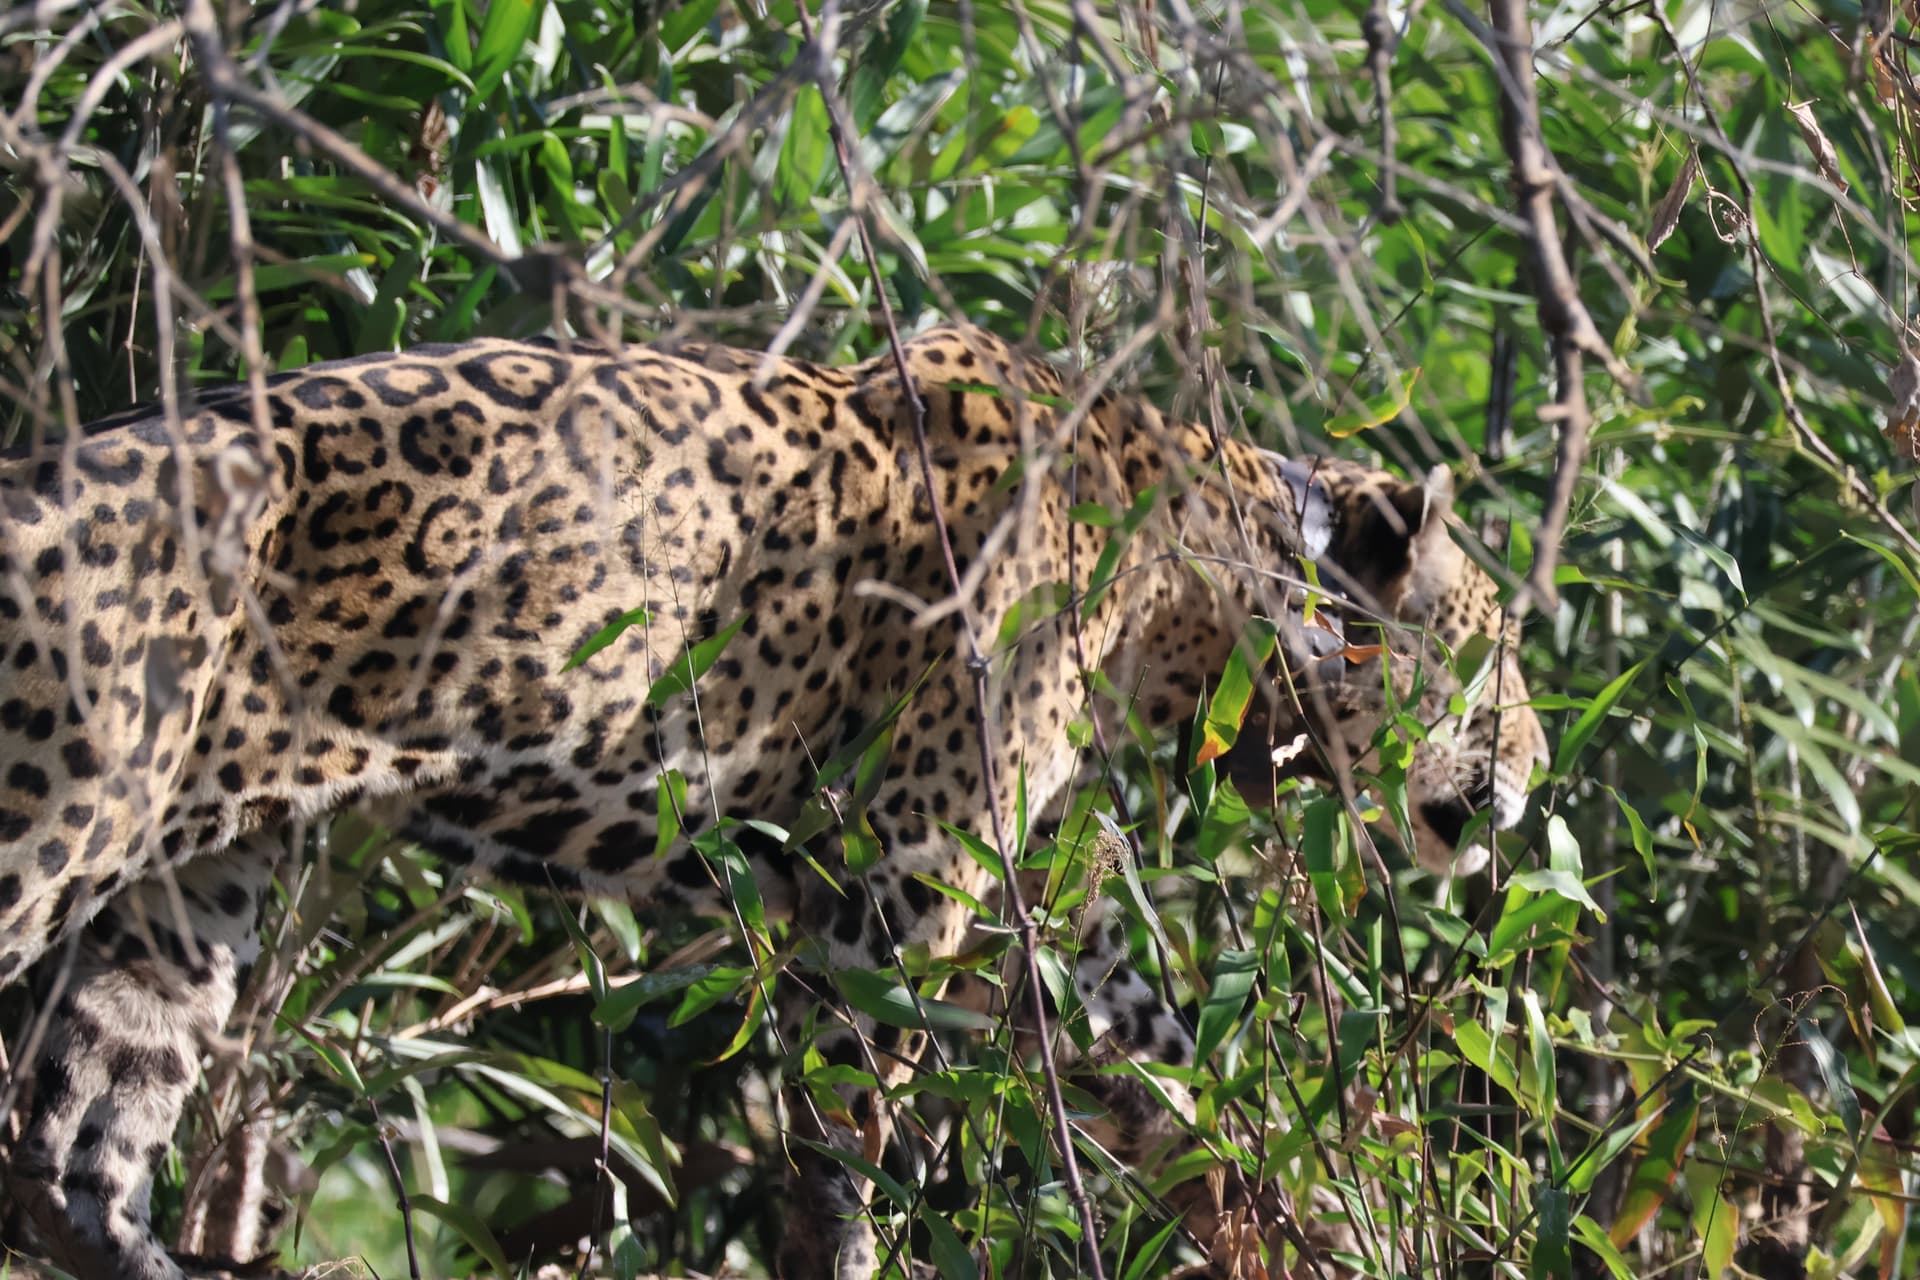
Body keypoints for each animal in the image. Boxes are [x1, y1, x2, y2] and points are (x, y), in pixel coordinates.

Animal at [0, 323, 1547, 1280]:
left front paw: (1306, 1224)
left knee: (71, 1148)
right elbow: (841, 1141)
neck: (1199, 597)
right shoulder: (902, 875)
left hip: (188, 879)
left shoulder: (1036, 909)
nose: (1539, 773)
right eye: (1503, 656)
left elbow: (1179, 1085)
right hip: (54, 817)